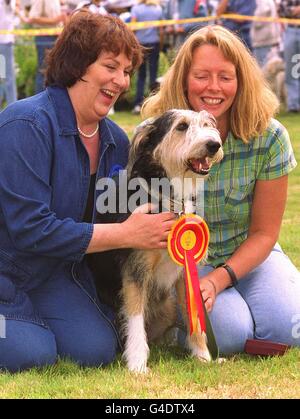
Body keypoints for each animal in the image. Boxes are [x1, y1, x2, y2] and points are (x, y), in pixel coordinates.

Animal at [90, 108, 224, 374]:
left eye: (206, 124)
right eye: (181, 127)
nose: (214, 145)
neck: (170, 200)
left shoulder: (184, 274)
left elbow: (192, 314)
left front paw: (203, 356)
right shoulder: (135, 271)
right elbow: (135, 319)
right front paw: (137, 364)